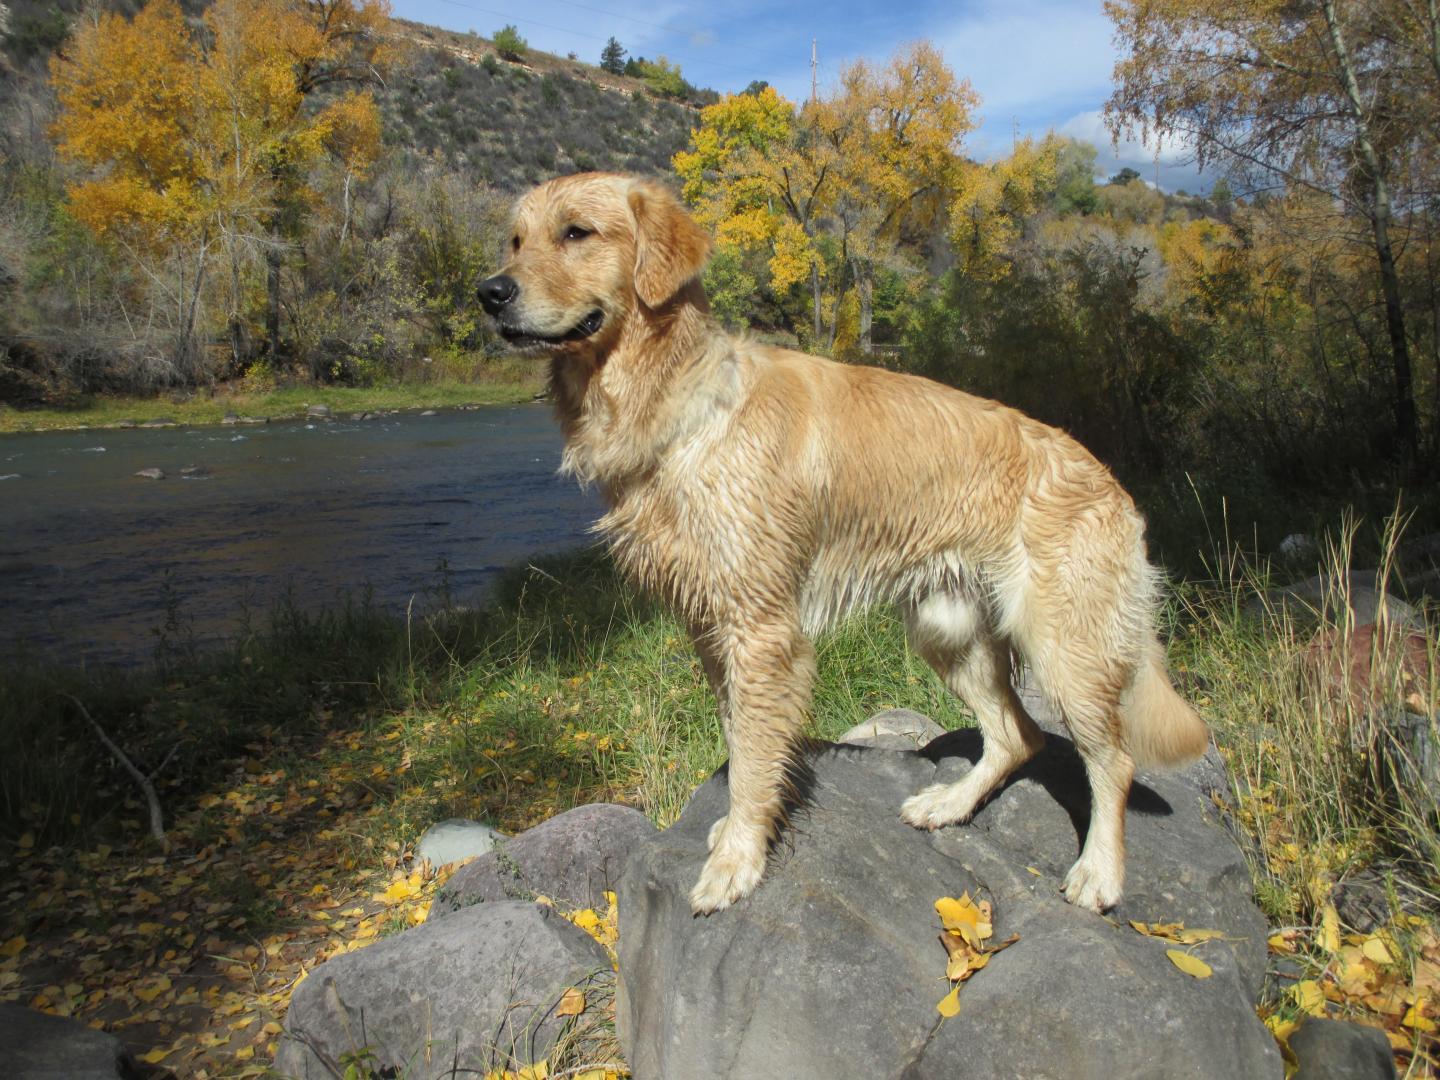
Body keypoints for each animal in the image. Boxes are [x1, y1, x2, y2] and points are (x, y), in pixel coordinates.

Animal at [478, 173, 1209, 915]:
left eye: (577, 232)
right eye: (515, 240)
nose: (490, 293)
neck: (683, 406)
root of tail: (1114, 486)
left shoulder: (761, 631)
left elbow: (752, 758)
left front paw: (737, 861)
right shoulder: (713, 629)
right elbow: (742, 740)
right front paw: (740, 830)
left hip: (1064, 646)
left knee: (1111, 758)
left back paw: (1100, 873)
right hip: (950, 631)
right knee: (1018, 736)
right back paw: (949, 804)